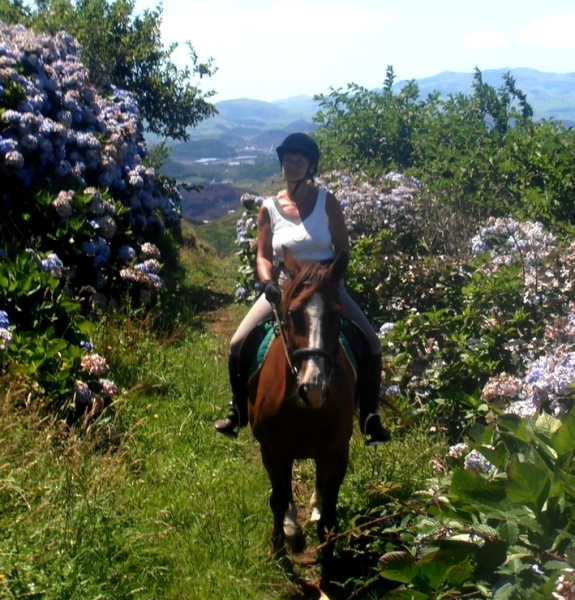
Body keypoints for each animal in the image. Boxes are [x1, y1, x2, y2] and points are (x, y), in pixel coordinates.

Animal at [250, 246, 358, 592]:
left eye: (337, 316)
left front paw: (328, 570)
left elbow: (330, 516)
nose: (315, 388)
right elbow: (278, 499)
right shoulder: (272, 451)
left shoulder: (336, 453)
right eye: (293, 315)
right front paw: (281, 547)